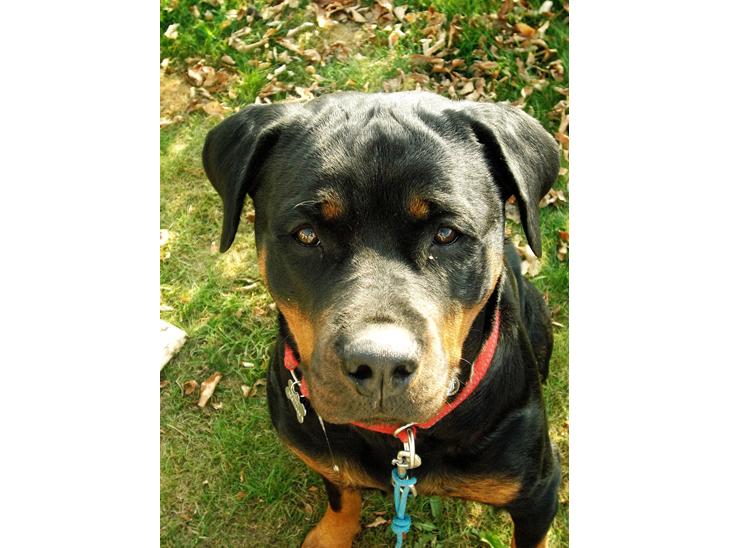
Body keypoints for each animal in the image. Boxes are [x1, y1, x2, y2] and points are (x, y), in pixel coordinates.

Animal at [203, 91, 561, 548]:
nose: (380, 365)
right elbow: (341, 493)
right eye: (306, 235)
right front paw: (332, 535)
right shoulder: (327, 457)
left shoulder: (537, 493)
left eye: (446, 234)